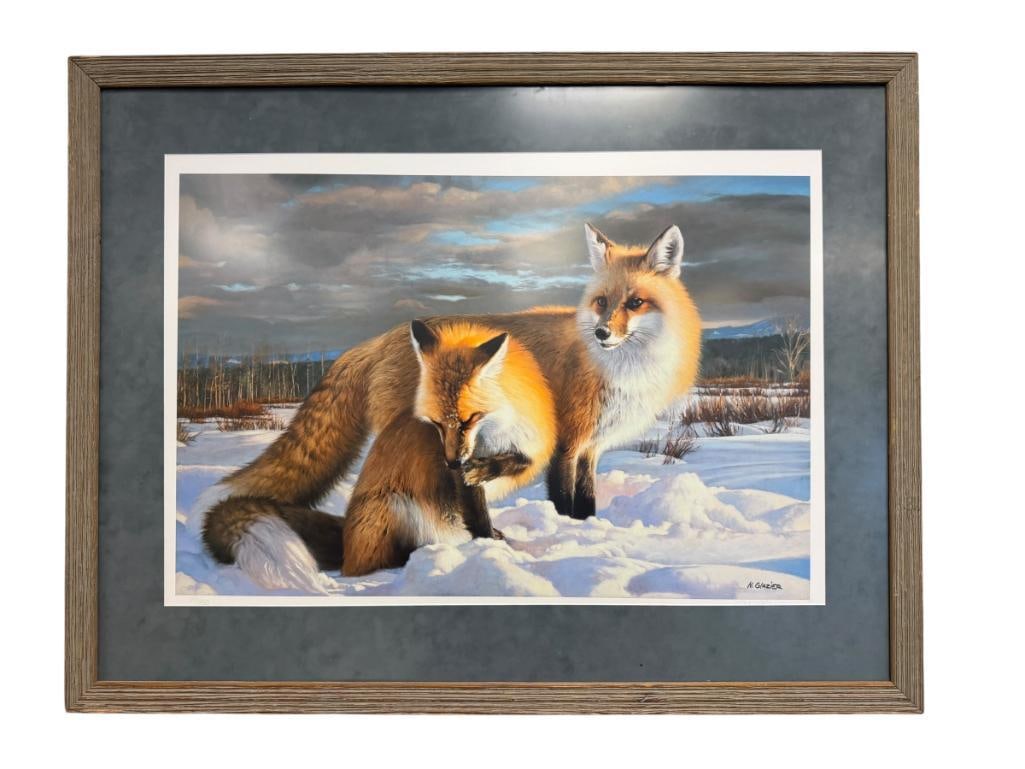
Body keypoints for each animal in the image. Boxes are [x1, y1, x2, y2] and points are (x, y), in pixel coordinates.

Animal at [339, 320, 555, 577]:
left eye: (469, 419)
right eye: (437, 423)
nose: (452, 463)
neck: (499, 434)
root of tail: (346, 559)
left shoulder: (529, 445)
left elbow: (521, 461)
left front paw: (486, 469)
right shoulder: (461, 482)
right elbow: (478, 516)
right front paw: (490, 545)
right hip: (394, 506)